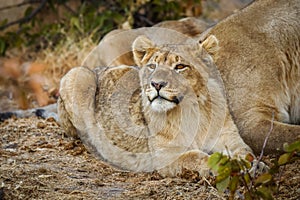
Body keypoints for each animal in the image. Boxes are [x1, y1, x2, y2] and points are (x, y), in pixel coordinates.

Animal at [56, 34, 260, 177]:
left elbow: (246, 151)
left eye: (180, 66)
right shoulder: (167, 156)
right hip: (78, 75)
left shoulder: (228, 137)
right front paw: (224, 167)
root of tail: (96, 69)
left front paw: (256, 166)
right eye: (152, 66)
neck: (193, 110)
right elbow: (197, 157)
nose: (157, 84)